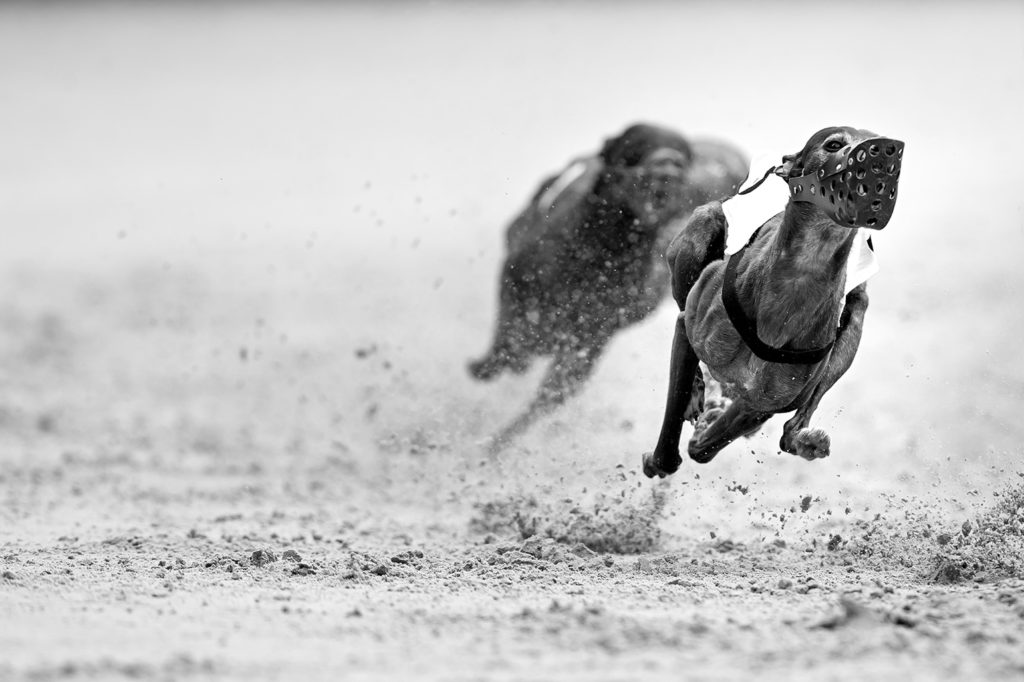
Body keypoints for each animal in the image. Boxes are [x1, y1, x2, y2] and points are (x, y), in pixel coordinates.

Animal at [468, 123, 745, 446]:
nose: (667, 167)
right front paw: (492, 364)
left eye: (684, 156)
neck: (598, 251)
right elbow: (510, 333)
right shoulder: (516, 276)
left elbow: (552, 385)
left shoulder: (593, 337)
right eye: (634, 148)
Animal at [643, 123, 901, 473]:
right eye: (834, 144)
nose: (884, 152)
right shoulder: (687, 329)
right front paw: (664, 453)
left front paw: (706, 428)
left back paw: (805, 441)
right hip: (701, 228)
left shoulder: (763, 403)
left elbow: (705, 447)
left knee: (791, 429)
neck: (798, 278)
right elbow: (672, 442)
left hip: (851, 328)